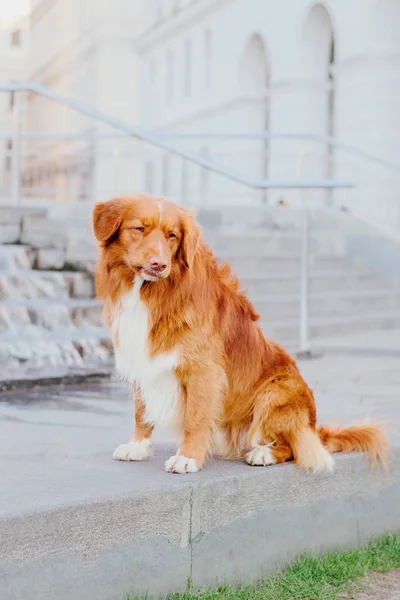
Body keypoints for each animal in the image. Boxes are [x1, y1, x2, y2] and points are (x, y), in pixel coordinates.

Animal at [94, 196, 388, 474]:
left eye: (172, 235)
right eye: (139, 229)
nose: (159, 264)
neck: (151, 292)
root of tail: (315, 426)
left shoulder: (204, 369)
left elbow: (196, 418)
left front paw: (188, 457)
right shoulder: (142, 357)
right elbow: (141, 411)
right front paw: (138, 446)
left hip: (277, 390)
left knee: (294, 445)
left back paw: (264, 453)